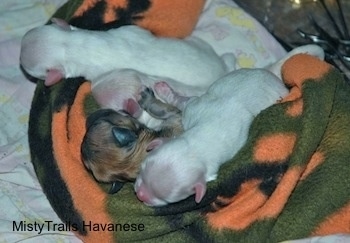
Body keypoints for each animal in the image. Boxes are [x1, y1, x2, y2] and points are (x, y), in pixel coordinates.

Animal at [21, 19, 235, 87]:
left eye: (27, 67)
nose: (20, 57)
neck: (72, 45)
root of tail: (222, 72)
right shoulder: (130, 30)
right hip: (200, 43)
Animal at [133, 67, 288, 206]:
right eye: (142, 169)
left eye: (165, 199)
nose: (140, 195)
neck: (199, 142)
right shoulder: (193, 108)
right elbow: (184, 101)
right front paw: (163, 90)